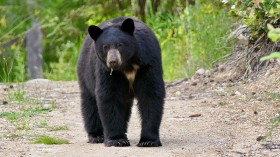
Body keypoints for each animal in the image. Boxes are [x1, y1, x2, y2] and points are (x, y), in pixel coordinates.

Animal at [76, 16, 165, 147]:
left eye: (120, 45)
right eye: (105, 47)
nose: (113, 61)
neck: (127, 65)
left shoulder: (148, 63)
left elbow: (150, 94)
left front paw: (148, 141)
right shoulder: (107, 71)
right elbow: (109, 96)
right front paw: (117, 139)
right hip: (86, 72)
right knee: (90, 104)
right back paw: (96, 135)